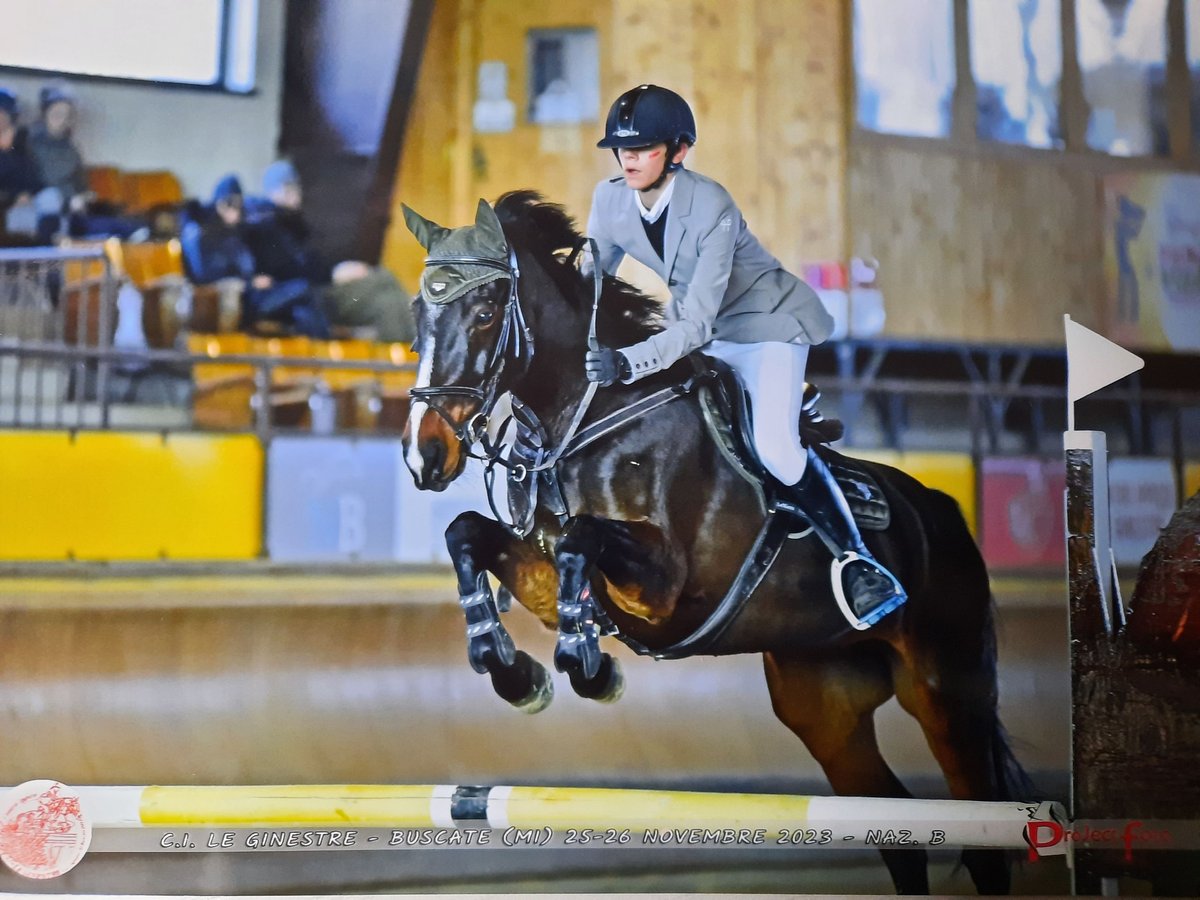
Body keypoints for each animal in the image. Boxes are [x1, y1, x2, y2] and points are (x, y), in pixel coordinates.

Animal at [400, 190, 1032, 897]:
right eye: (418, 314)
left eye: (485, 314)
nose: (424, 456)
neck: (586, 416)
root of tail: (944, 512)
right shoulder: (542, 568)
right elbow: (469, 535)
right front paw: (514, 671)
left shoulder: (665, 589)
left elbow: (580, 544)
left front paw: (586, 665)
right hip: (824, 702)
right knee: (896, 829)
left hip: (948, 690)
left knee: (983, 831)